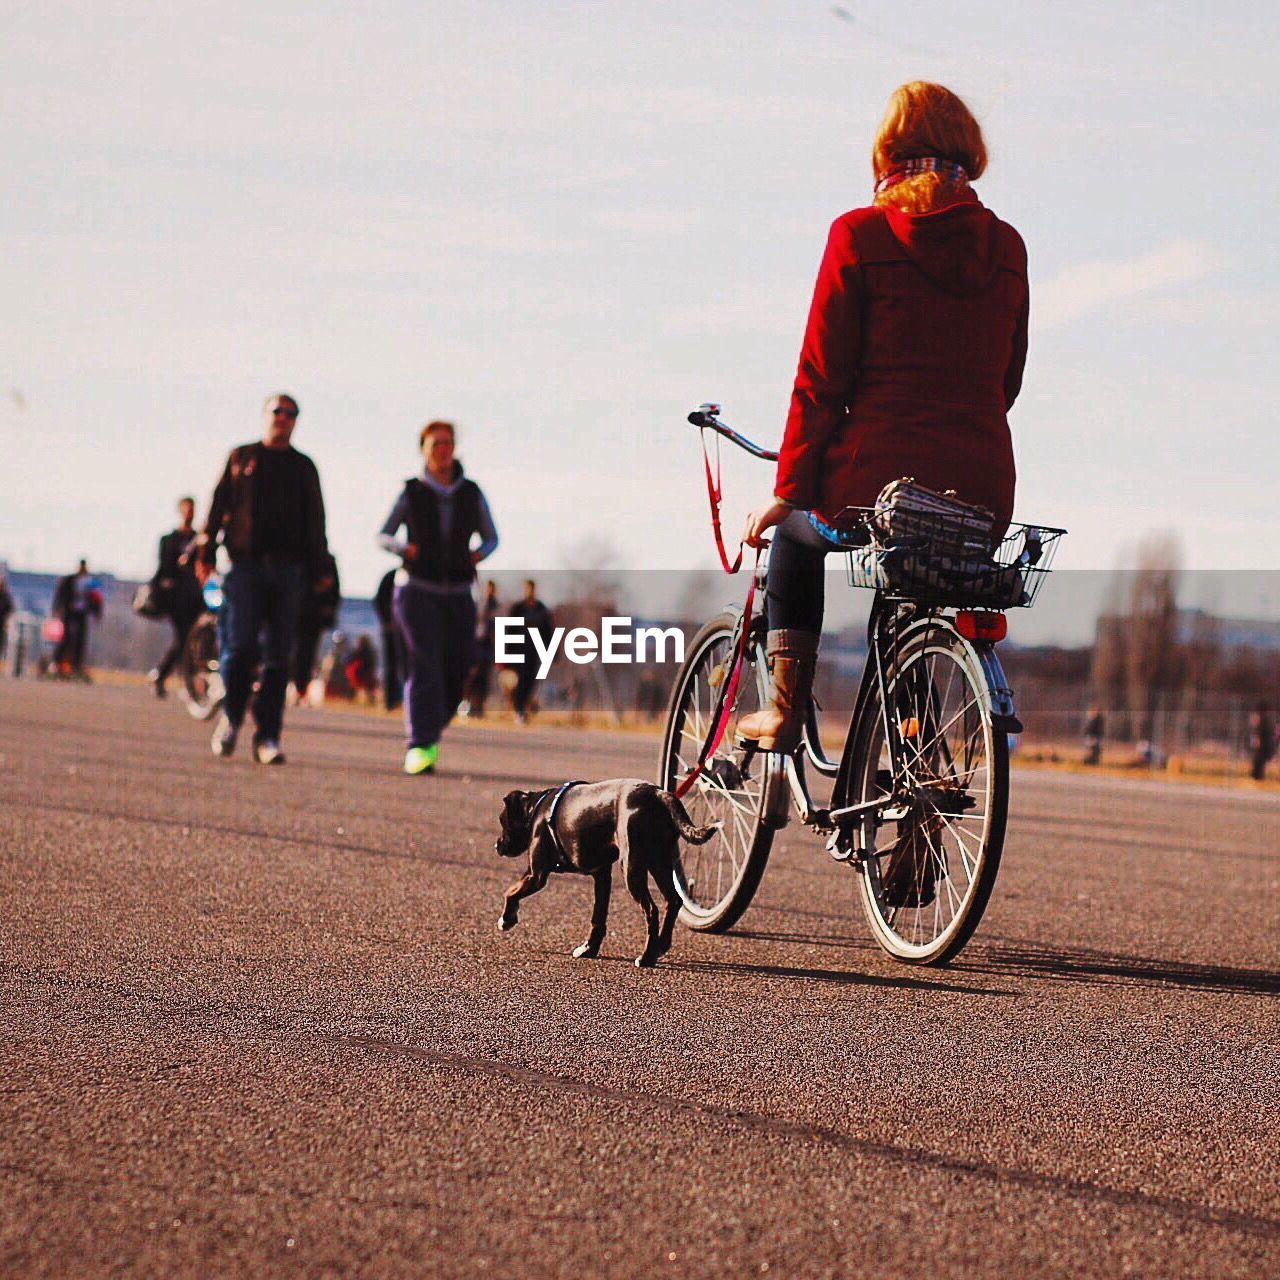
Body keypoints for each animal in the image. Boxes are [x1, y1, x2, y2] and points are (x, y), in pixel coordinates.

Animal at [494, 778, 721, 967]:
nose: (496, 846)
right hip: (661, 863)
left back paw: (647, 957)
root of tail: (659, 794)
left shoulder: (536, 875)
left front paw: (507, 919)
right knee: (673, 901)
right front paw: (589, 948)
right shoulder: (601, 876)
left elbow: (510, 892)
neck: (537, 808)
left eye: (502, 820)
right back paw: (660, 946)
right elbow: (598, 917)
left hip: (632, 868)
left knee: (651, 910)